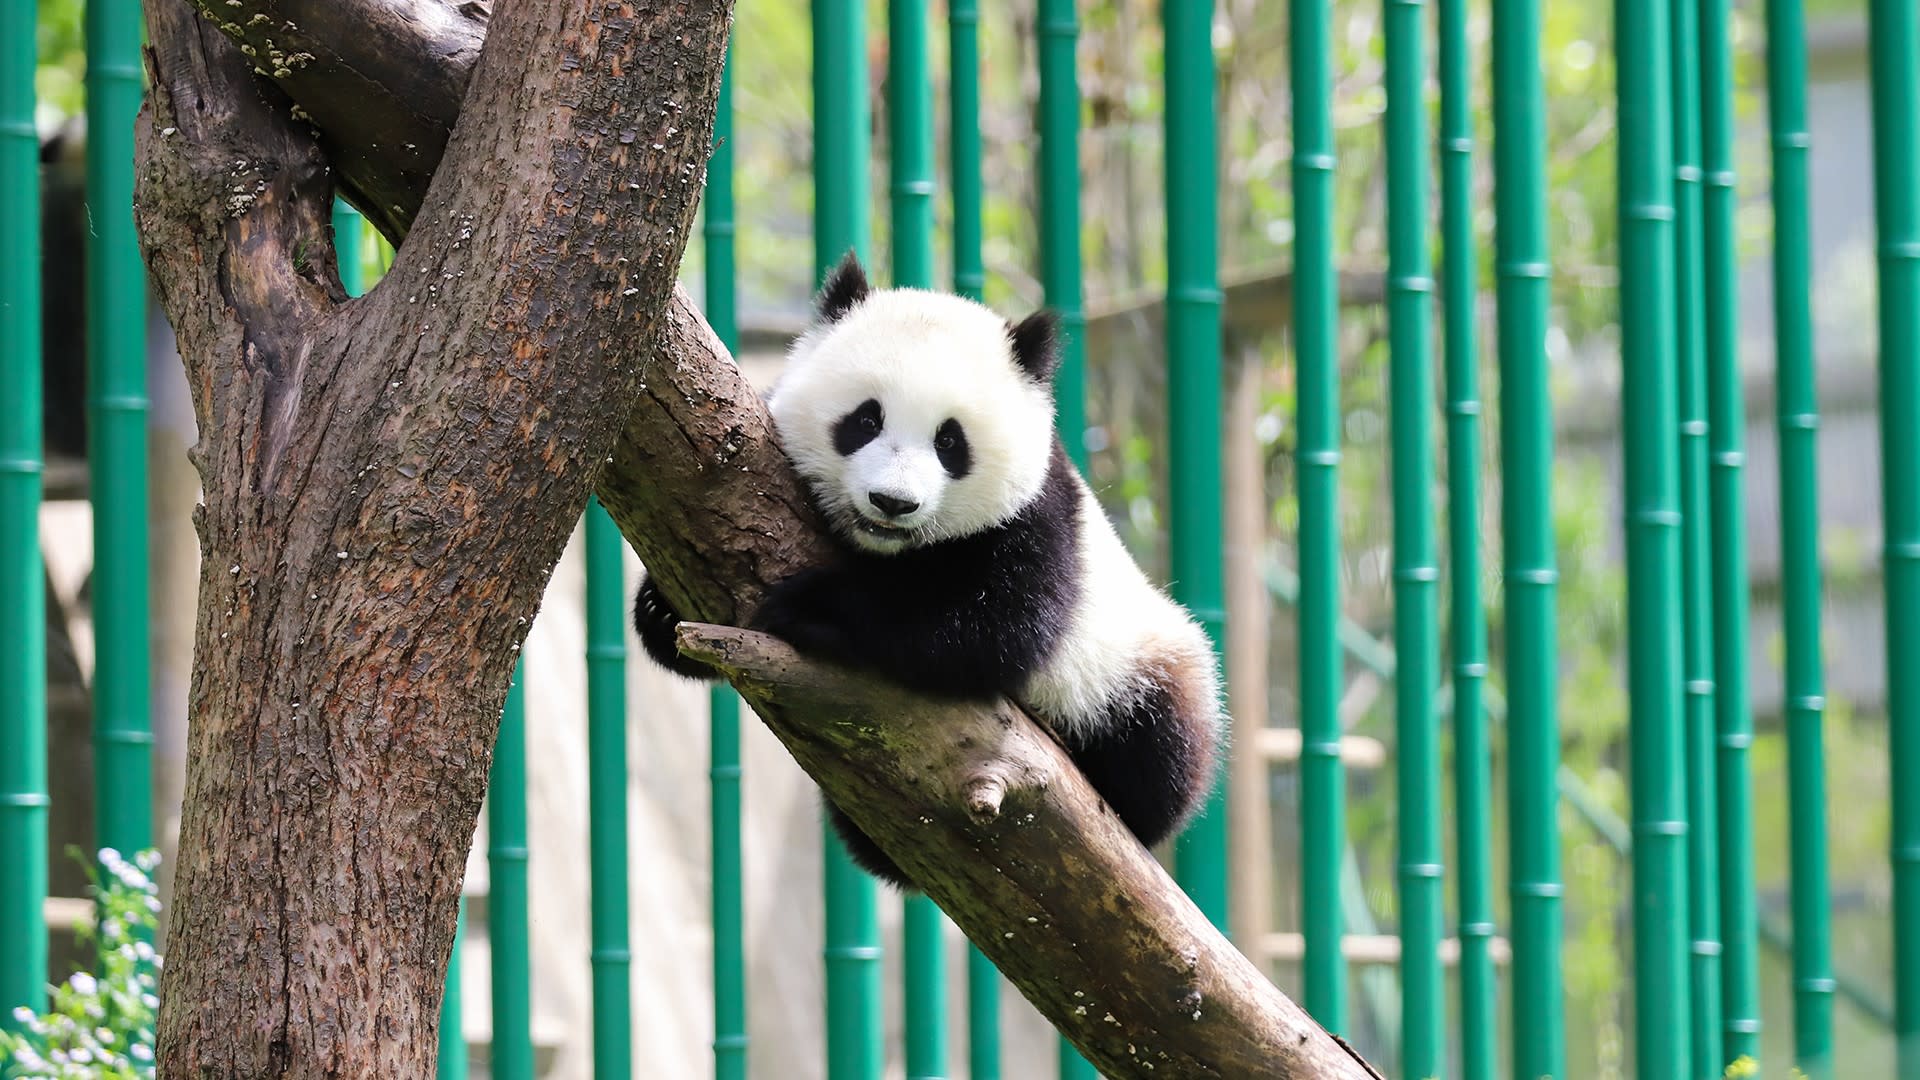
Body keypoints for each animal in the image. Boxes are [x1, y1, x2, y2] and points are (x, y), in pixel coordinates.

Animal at [633, 252, 1225, 889]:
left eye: (950, 441)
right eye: (865, 420)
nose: (892, 502)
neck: (891, 553)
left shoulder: (1040, 517)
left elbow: (993, 628)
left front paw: (812, 608)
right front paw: (661, 607)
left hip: (1139, 661)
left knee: (1159, 744)